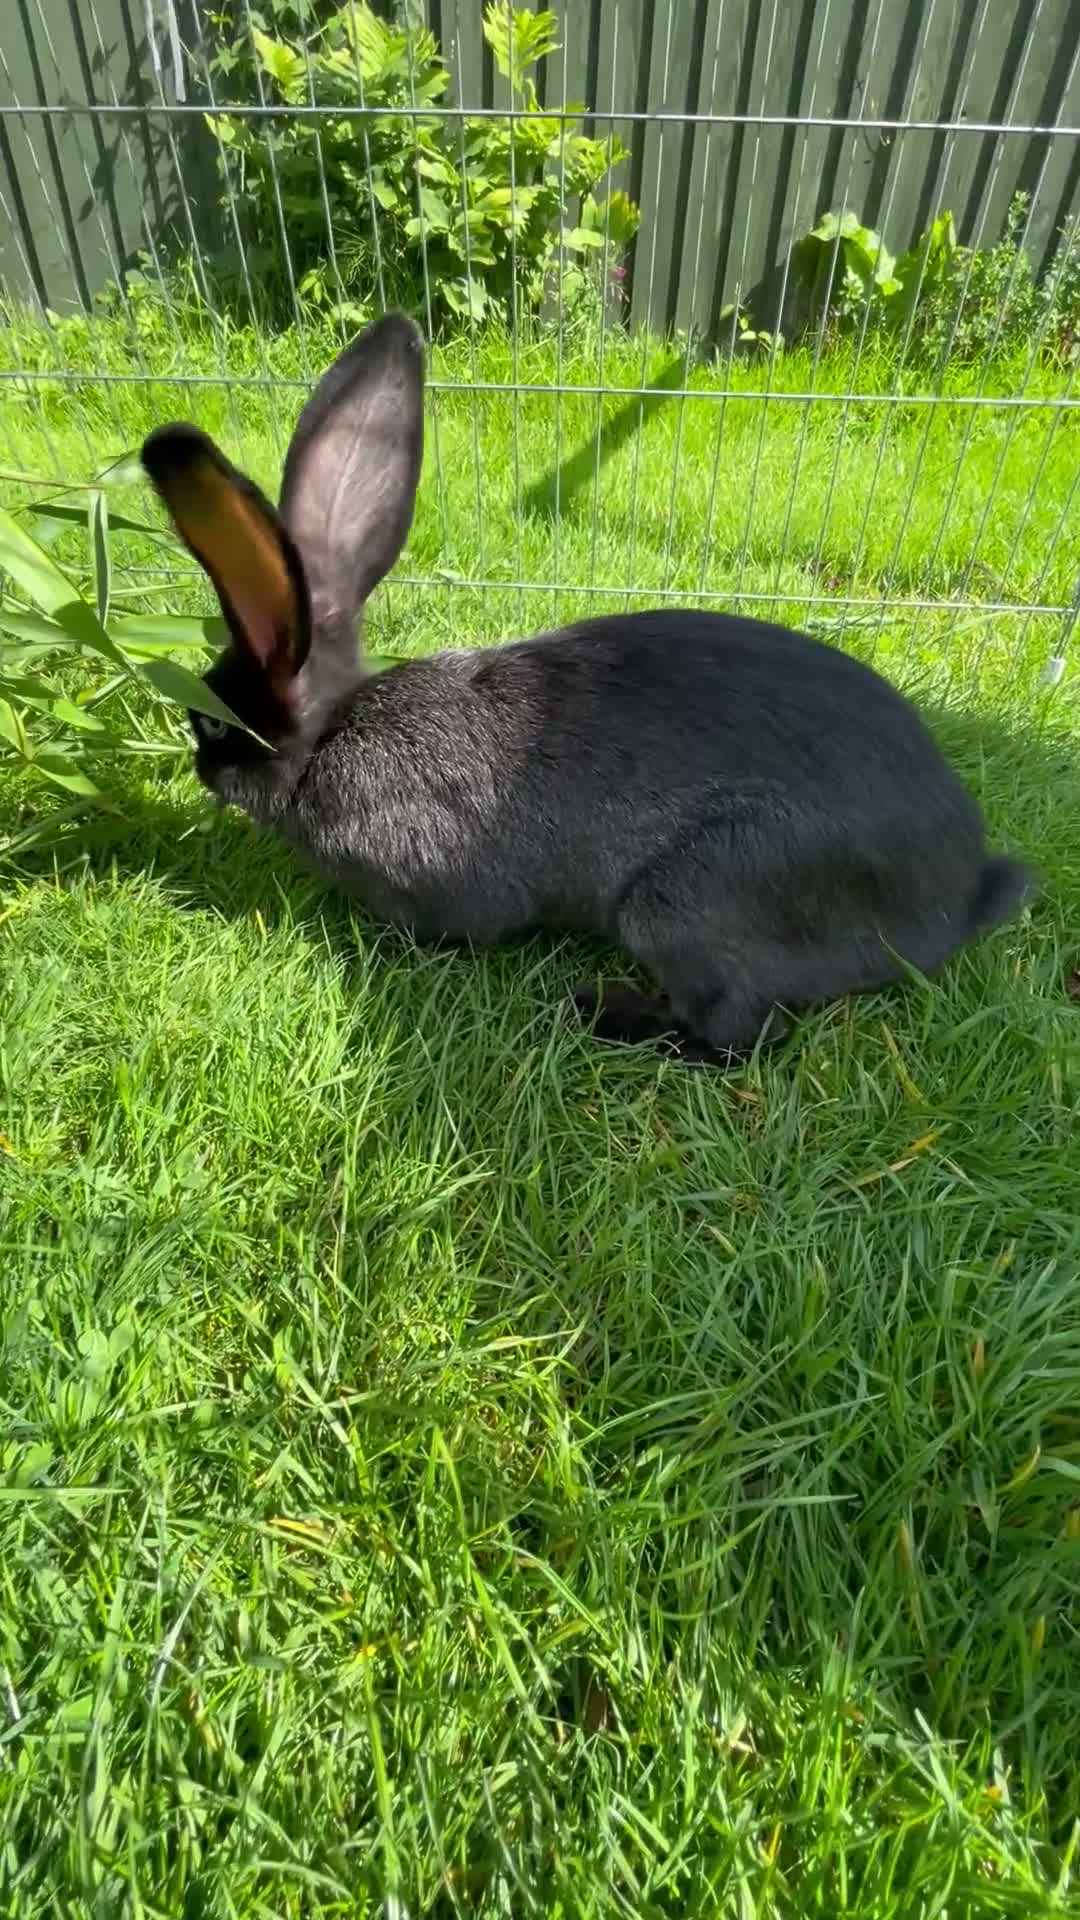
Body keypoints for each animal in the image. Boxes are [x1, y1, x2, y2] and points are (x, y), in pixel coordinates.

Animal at [140, 310, 1033, 1066]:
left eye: (211, 724)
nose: (199, 769)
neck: (332, 735)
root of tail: (950, 906)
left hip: (681, 903)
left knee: (739, 1034)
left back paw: (604, 1013)